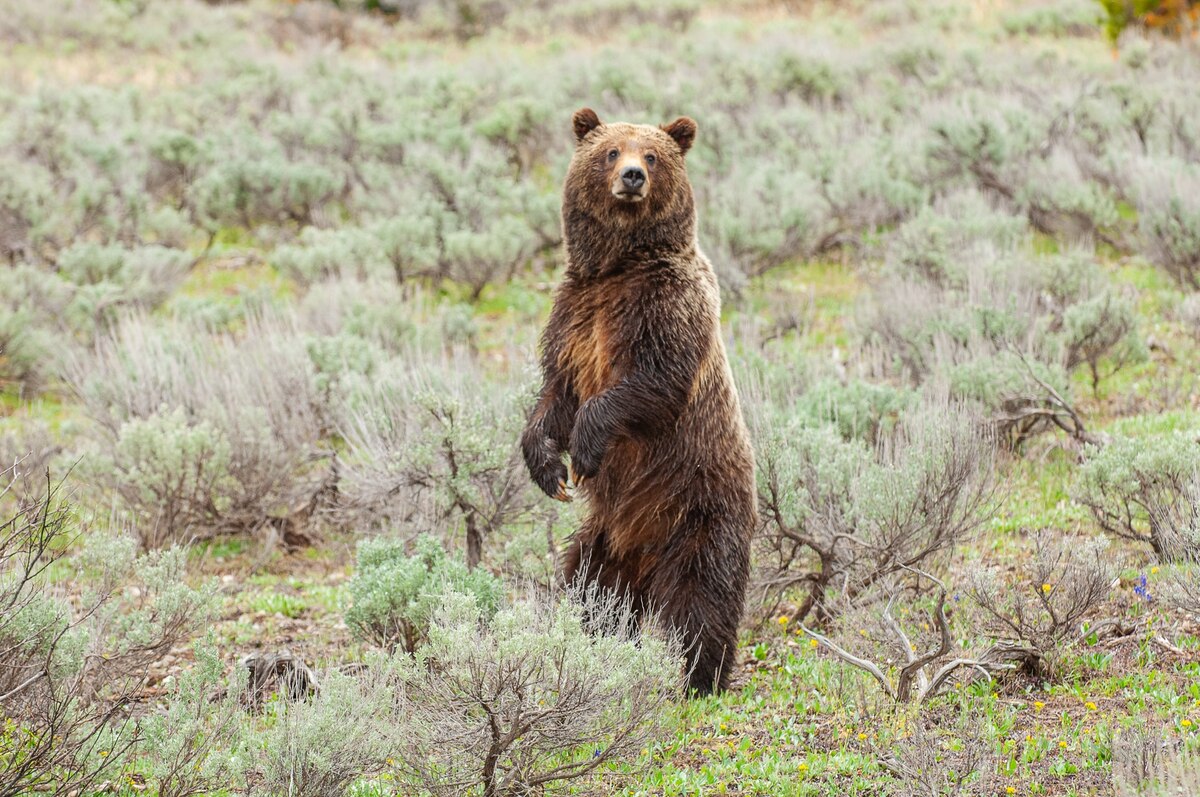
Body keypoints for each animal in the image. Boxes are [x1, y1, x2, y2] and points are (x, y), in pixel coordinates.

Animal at [520, 109, 753, 696]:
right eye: (610, 151)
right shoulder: (574, 313)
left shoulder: (666, 307)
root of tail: (643, 551)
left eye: (651, 154)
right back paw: (592, 649)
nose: (632, 176)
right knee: (591, 589)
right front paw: (548, 467)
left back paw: (699, 676)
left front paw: (585, 447)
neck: (618, 266)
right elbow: (556, 392)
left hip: (697, 507)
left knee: (702, 596)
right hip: (604, 540)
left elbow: (652, 383)